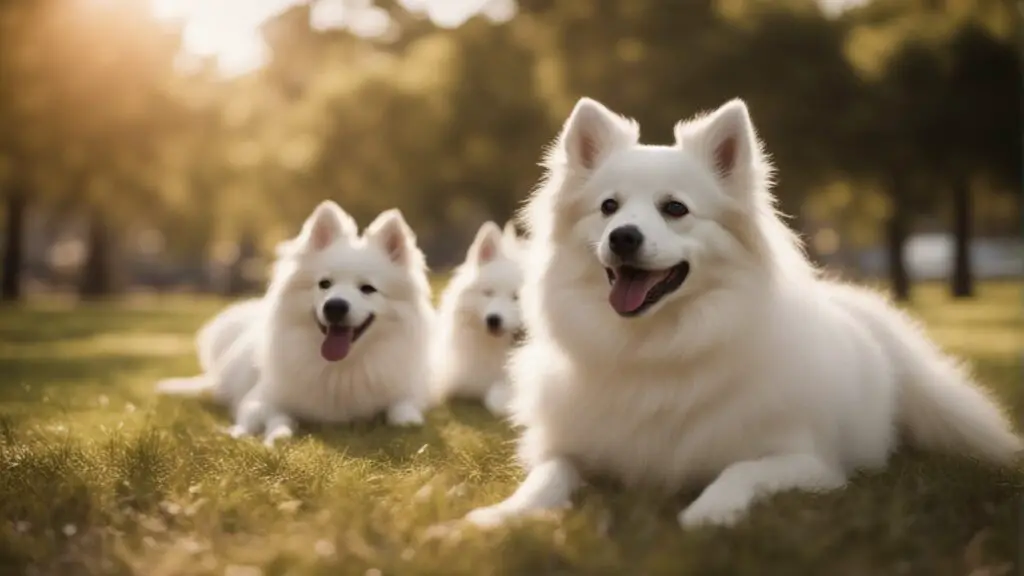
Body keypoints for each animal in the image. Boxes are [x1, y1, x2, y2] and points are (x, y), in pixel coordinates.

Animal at [157, 199, 434, 446]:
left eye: (367, 289)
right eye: (324, 284)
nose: (334, 307)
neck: (340, 370)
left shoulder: (405, 394)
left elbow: (402, 412)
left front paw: (406, 419)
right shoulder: (259, 399)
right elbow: (274, 418)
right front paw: (267, 435)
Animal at [466, 96, 1024, 528]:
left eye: (674, 208)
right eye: (608, 208)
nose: (623, 237)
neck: (655, 345)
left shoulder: (810, 464)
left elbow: (741, 471)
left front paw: (708, 512)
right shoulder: (568, 449)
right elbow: (547, 475)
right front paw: (500, 515)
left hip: (942, 410)